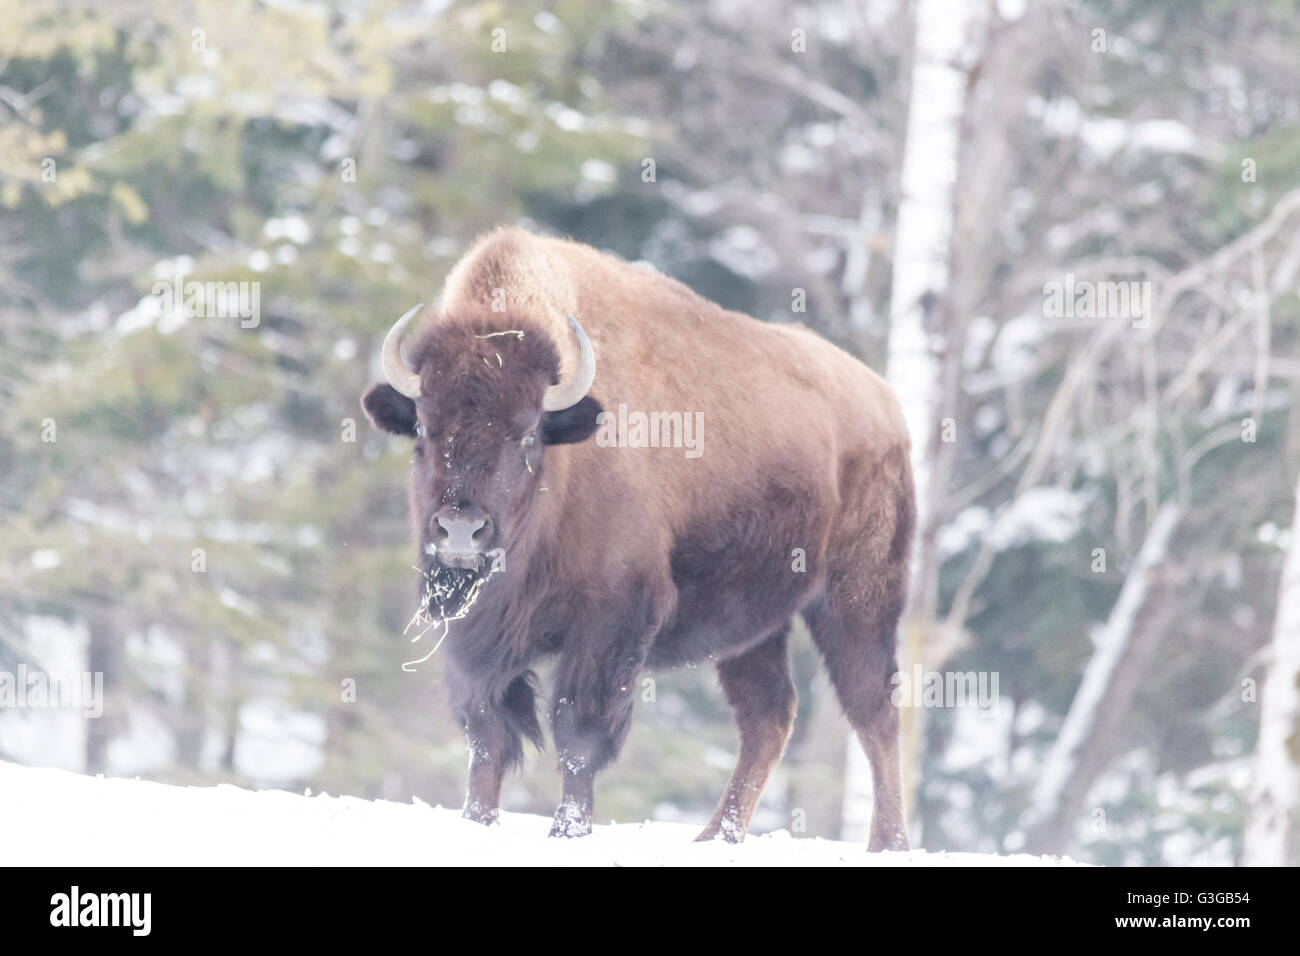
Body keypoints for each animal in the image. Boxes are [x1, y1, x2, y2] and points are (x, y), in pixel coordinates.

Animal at [361, 226, 914, 847]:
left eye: (526, 434)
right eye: (423, 430)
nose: (461, 529)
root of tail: (884, 404)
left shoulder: (611, 624)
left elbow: (578, 733)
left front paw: (569, 833)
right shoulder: (477, 641)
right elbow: (488, 738)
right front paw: (476, 823)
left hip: (857, 599)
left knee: (875, 709)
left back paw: (887, 842)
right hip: (754, 628)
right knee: (768, 716)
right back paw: (713, 838)